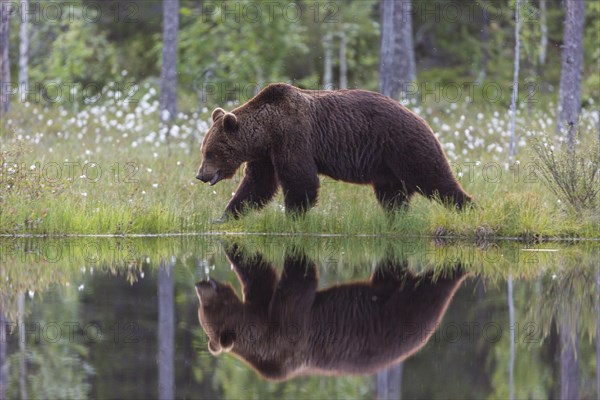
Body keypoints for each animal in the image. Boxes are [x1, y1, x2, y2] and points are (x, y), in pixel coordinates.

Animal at [195, 83, 472, 220]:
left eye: (211, 152)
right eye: (204, 149)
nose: (201, 175)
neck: (267, 131)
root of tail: (421, 118)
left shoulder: (293, 138)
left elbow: (301, 180)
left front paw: (294, 216)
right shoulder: (266, 155)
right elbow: (257, 185)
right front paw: (225, 215)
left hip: (405, 146)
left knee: (435, 178)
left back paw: (467, 208)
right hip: (387, 167)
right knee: (392, 197)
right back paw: (397, 219)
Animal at [197, 242, 468, 380]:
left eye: (212, 307)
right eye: (203, 310)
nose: (201, 286)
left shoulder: (289, 331)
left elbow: (297, 286)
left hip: (405, 310)